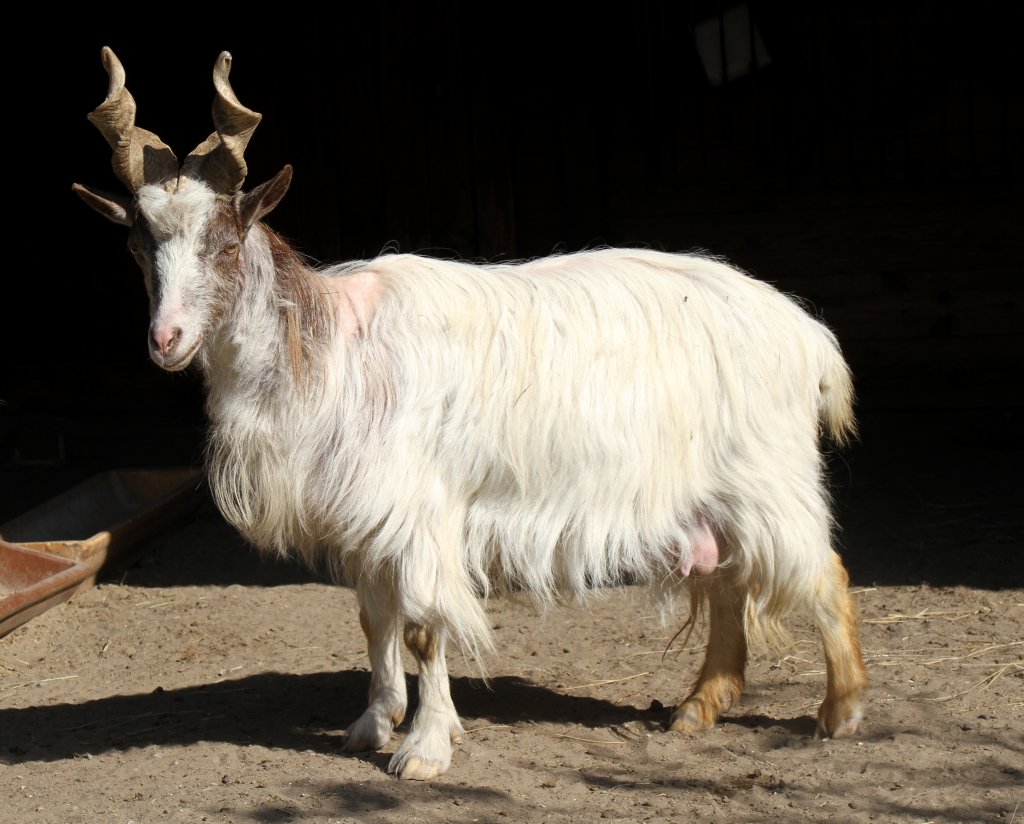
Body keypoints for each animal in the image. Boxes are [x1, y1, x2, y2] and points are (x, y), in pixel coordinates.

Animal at [75, 48, 868, 782]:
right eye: (136, 243)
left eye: (225, 240)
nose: (167, 340)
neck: (332, 350)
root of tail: (807, 335)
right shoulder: (367, 522)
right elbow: (376, 619)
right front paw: (373, 724)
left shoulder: (423, 514)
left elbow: (426, 627)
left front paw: (424, 749)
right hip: (712, 497)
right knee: (731, 582)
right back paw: (697, 707)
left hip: (770, 480)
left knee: (823, 572)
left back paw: (840, 711)